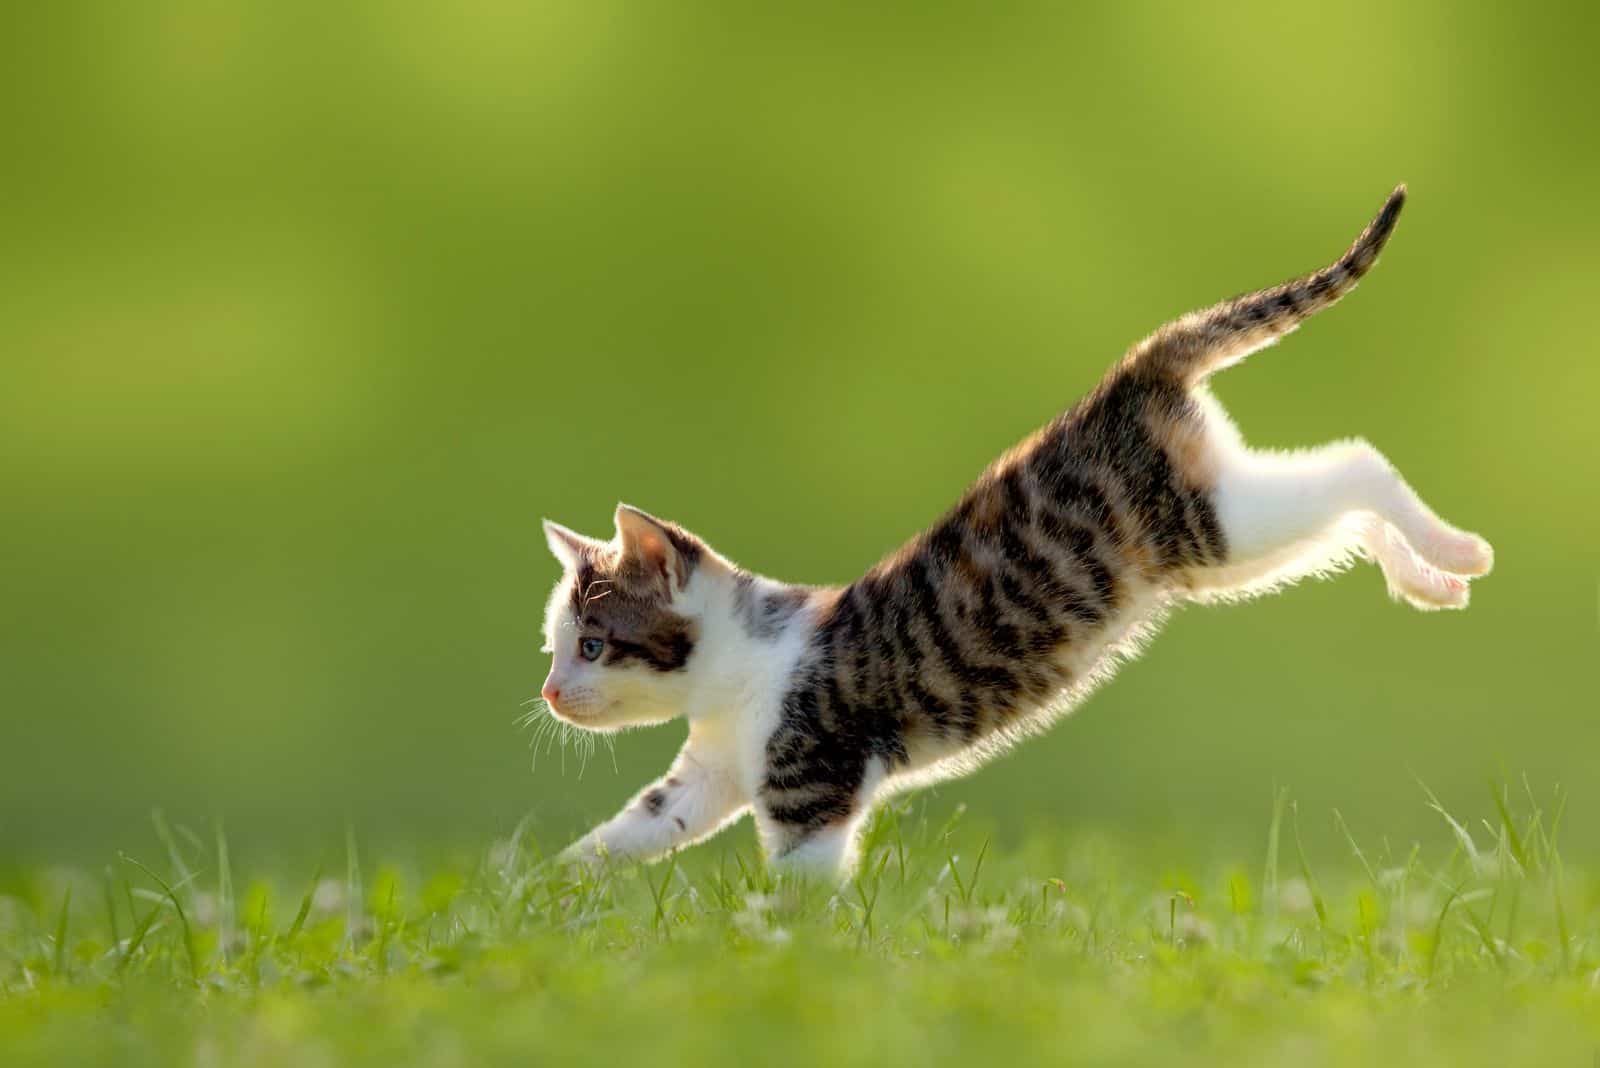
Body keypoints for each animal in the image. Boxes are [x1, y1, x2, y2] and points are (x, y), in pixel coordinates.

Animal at [534, 187, 1484, 882]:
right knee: (1342, 493)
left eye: (591, 644)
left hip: (1211, 526)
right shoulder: (713, 773)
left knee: (1358, 464)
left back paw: (1456, 552)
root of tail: (1132, 374)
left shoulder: (813, 785)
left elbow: (799, 889)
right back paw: (1426, 578)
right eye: (554, 647)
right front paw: (551, 887)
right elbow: (635, 828)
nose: (547, 692)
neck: (736, 671)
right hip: (1222, 527)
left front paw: (785, 955)